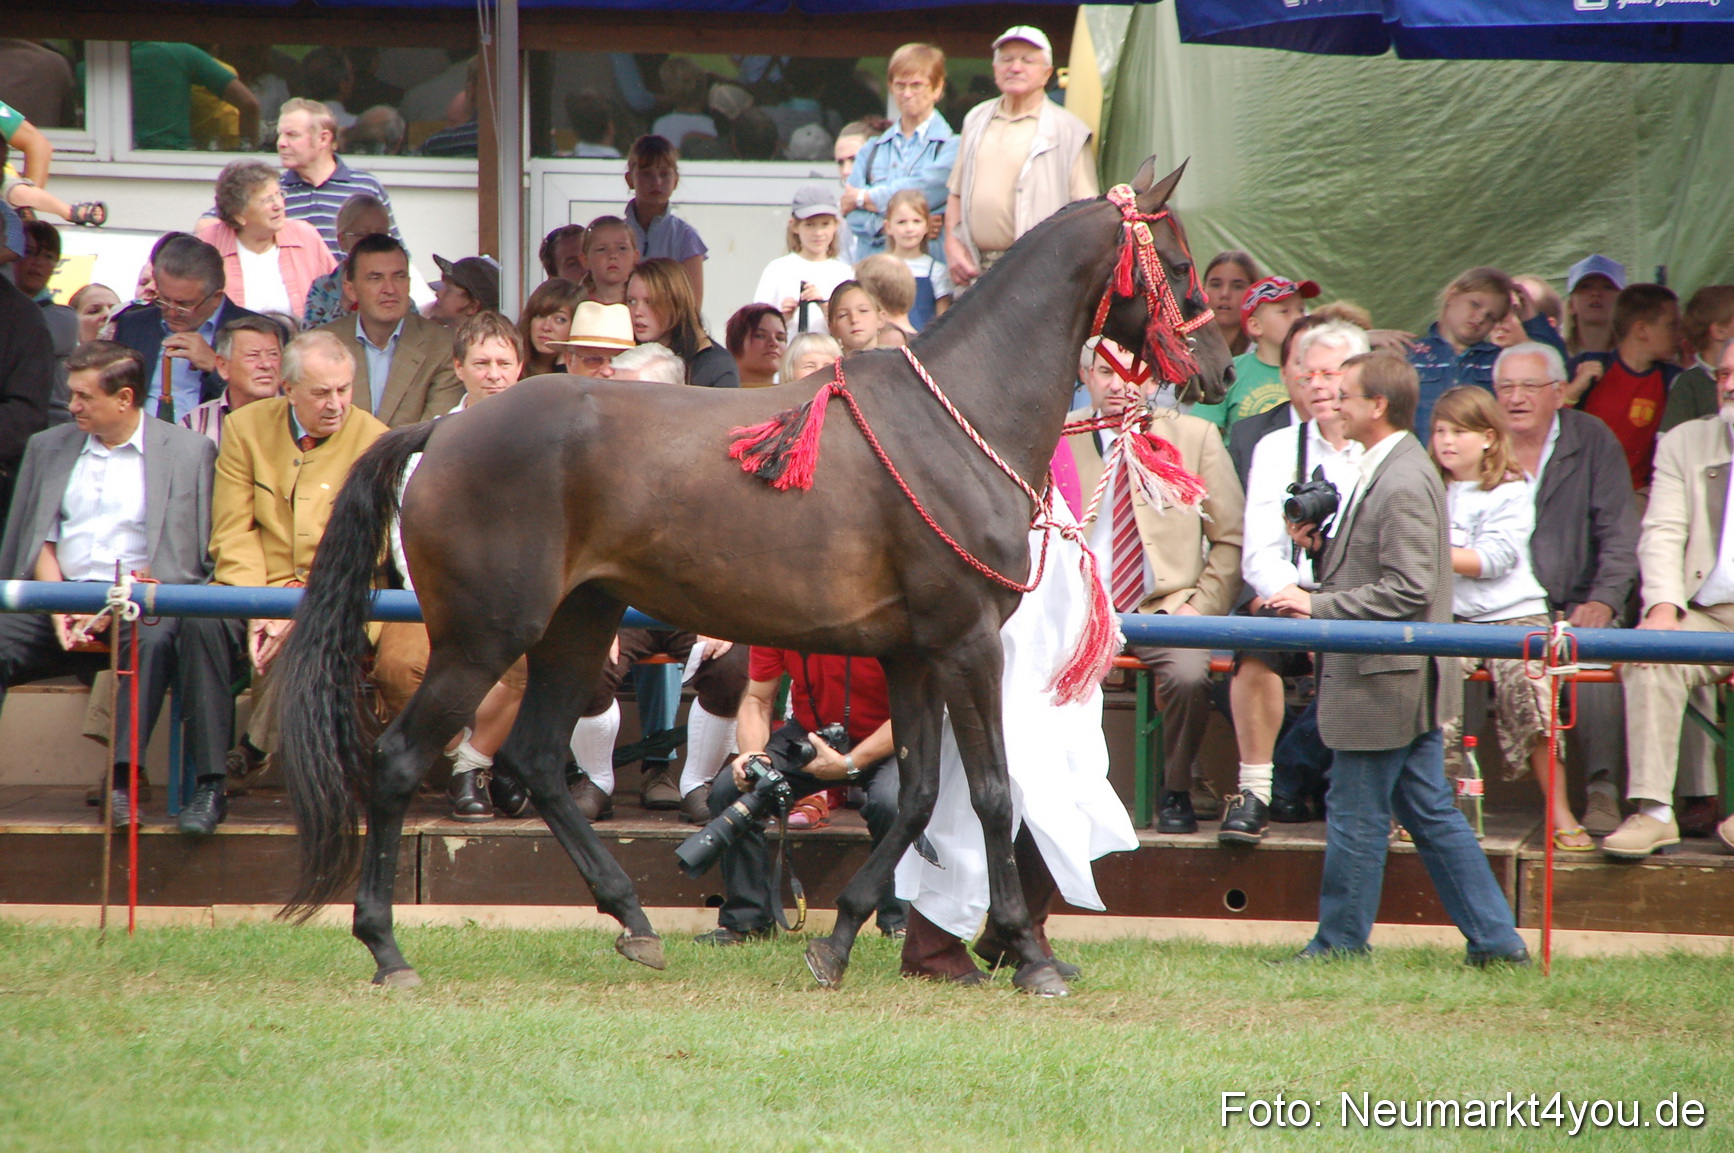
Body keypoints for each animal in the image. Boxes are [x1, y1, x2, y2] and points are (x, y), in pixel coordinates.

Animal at [273, 157, 1232, 995]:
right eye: (1182, 263)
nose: (1220, 367)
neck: (957, 416)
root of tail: (445, 430)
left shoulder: (912, 655)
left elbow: (920, 796)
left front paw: (839, 939)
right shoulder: (965, 646)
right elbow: (997, 795)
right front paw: (1027, 953)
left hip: (578, 625)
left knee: (540, 759)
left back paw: (633, 920)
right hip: (482, 640)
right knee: (399, 760)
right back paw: (387, 945)